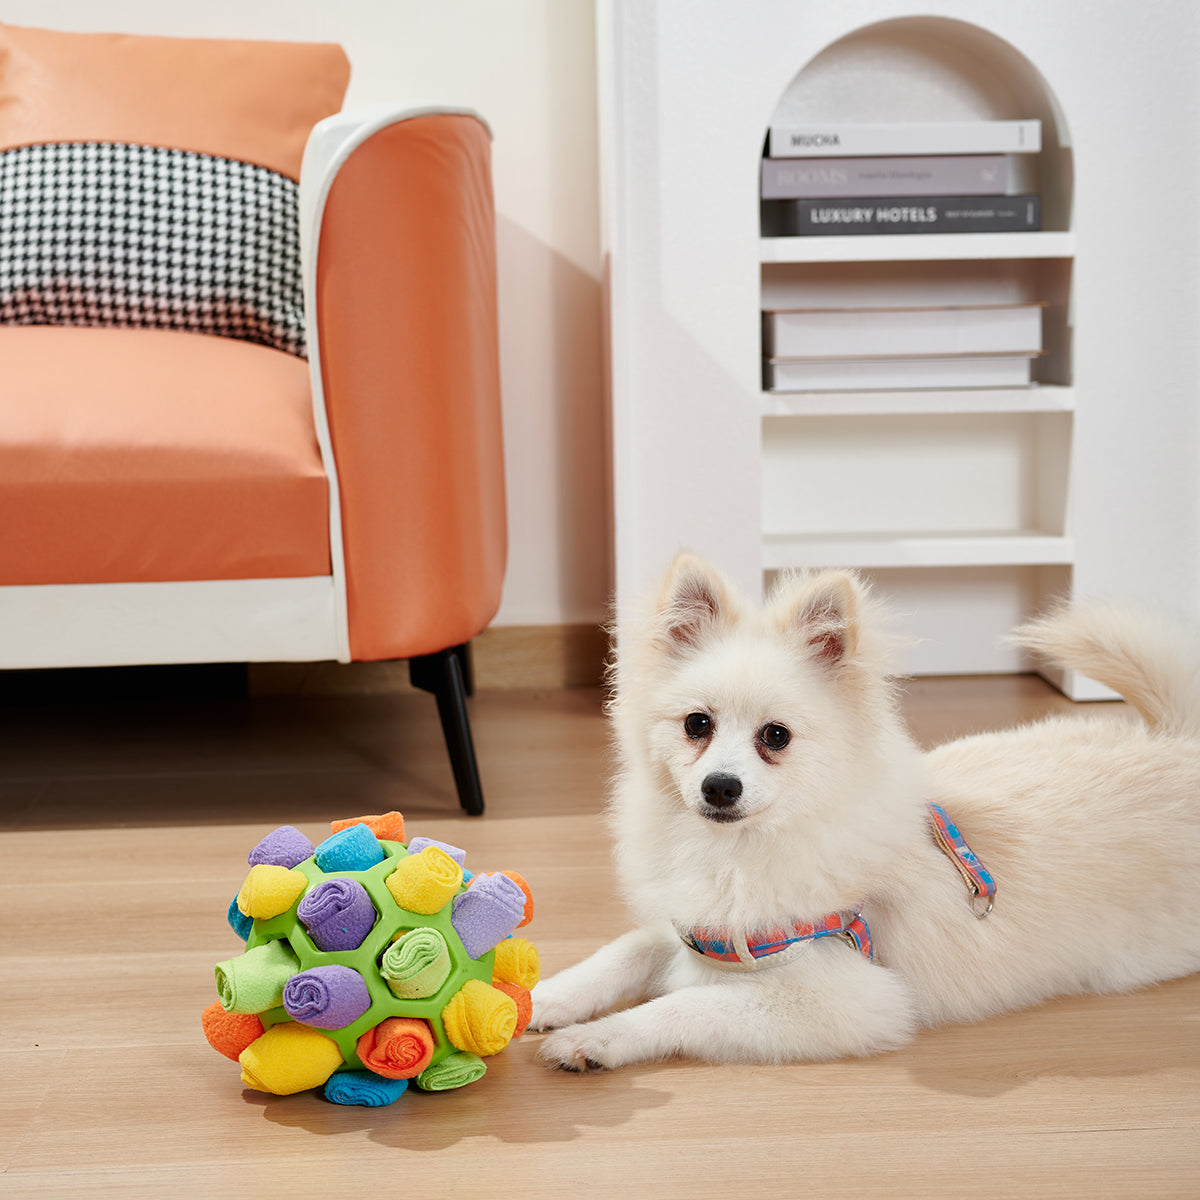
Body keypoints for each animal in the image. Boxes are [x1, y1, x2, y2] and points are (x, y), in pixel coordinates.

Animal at [535, 552, 1200, 1070]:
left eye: (776, 737)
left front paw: (597, 1038)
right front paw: (542, 997)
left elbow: (685, 1004)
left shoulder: (848, 1000)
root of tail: (1179, 741)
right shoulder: (694, 927)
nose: (720, 787)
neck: (741, 849)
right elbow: (621, 952)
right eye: (697, 724)